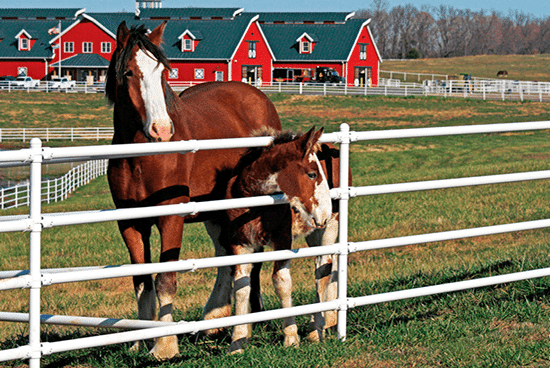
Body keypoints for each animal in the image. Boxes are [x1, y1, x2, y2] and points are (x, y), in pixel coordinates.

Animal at [106, 20, 282, 360]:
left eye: (163, 71)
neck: (141, 157)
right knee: (225, 255)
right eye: (130, 72)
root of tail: (258, 97)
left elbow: (165, 280)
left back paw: (248, 321)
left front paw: (165, 345)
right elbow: (142, 281)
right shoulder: (129, 223)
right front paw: (141, 341)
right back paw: (214, 319)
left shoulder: (171, 219)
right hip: (216, 211)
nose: (162, 130)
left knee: (248, 261)